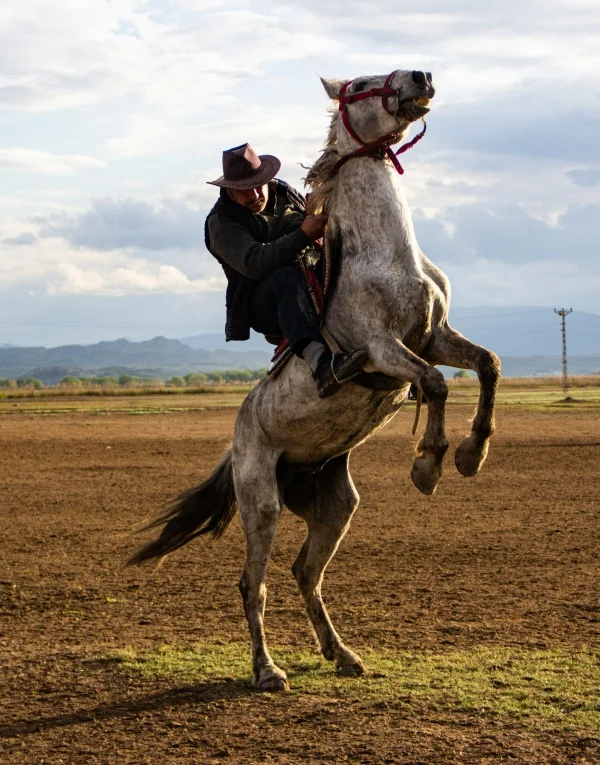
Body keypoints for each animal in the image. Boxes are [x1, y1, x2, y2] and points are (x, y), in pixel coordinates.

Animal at [130, 68, 502, 692]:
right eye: (363, 82)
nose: (422, 76)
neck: (386, 254)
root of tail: (238, 443)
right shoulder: (382, 350)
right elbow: (435, 385)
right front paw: (427, 464)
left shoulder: (437, 335)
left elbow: (488, 365)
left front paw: (472, 455)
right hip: (263, 505)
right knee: (252, 585)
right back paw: (268, 671)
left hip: (334, 506)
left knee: (306, 572)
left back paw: (342, 653)